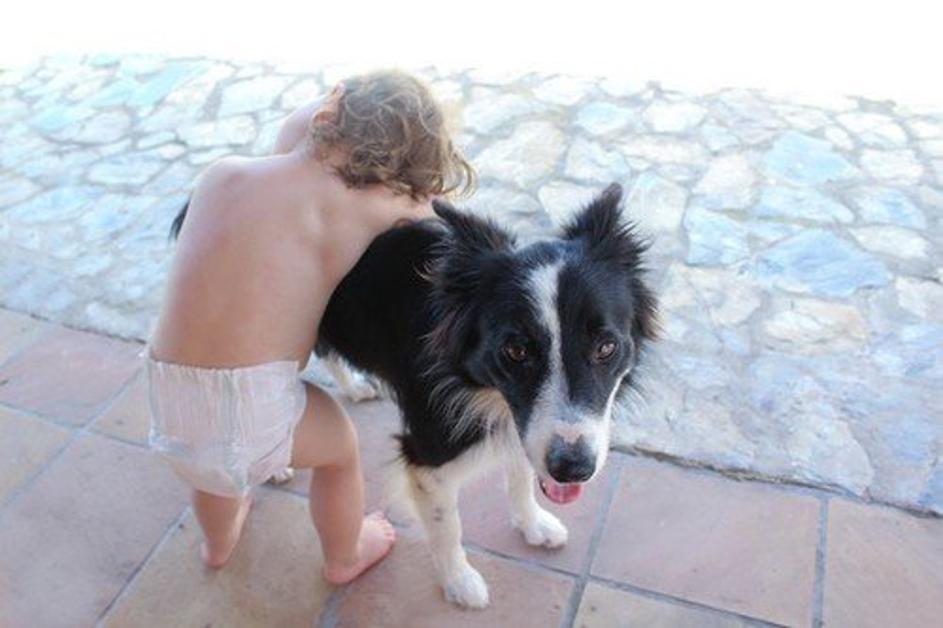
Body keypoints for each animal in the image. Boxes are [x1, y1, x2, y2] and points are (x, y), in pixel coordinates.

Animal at [317, 182, 658, 607]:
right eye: (516, 350)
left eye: (606, 347)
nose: (573, 468)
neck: (487, 391)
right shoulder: (428, 450)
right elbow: (447, 526)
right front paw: (459, 582)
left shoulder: (528, 431)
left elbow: (522, 473)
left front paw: (533, 524)